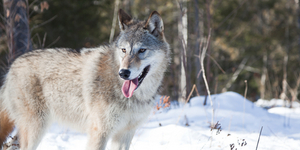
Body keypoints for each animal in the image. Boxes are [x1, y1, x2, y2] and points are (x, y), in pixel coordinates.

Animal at [0, 9, 170, 150]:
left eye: (142, 50)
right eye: (124, 50)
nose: (123, 73)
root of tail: (12, 67)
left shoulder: (125, 133)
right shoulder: (99, 132)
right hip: (36, 130)